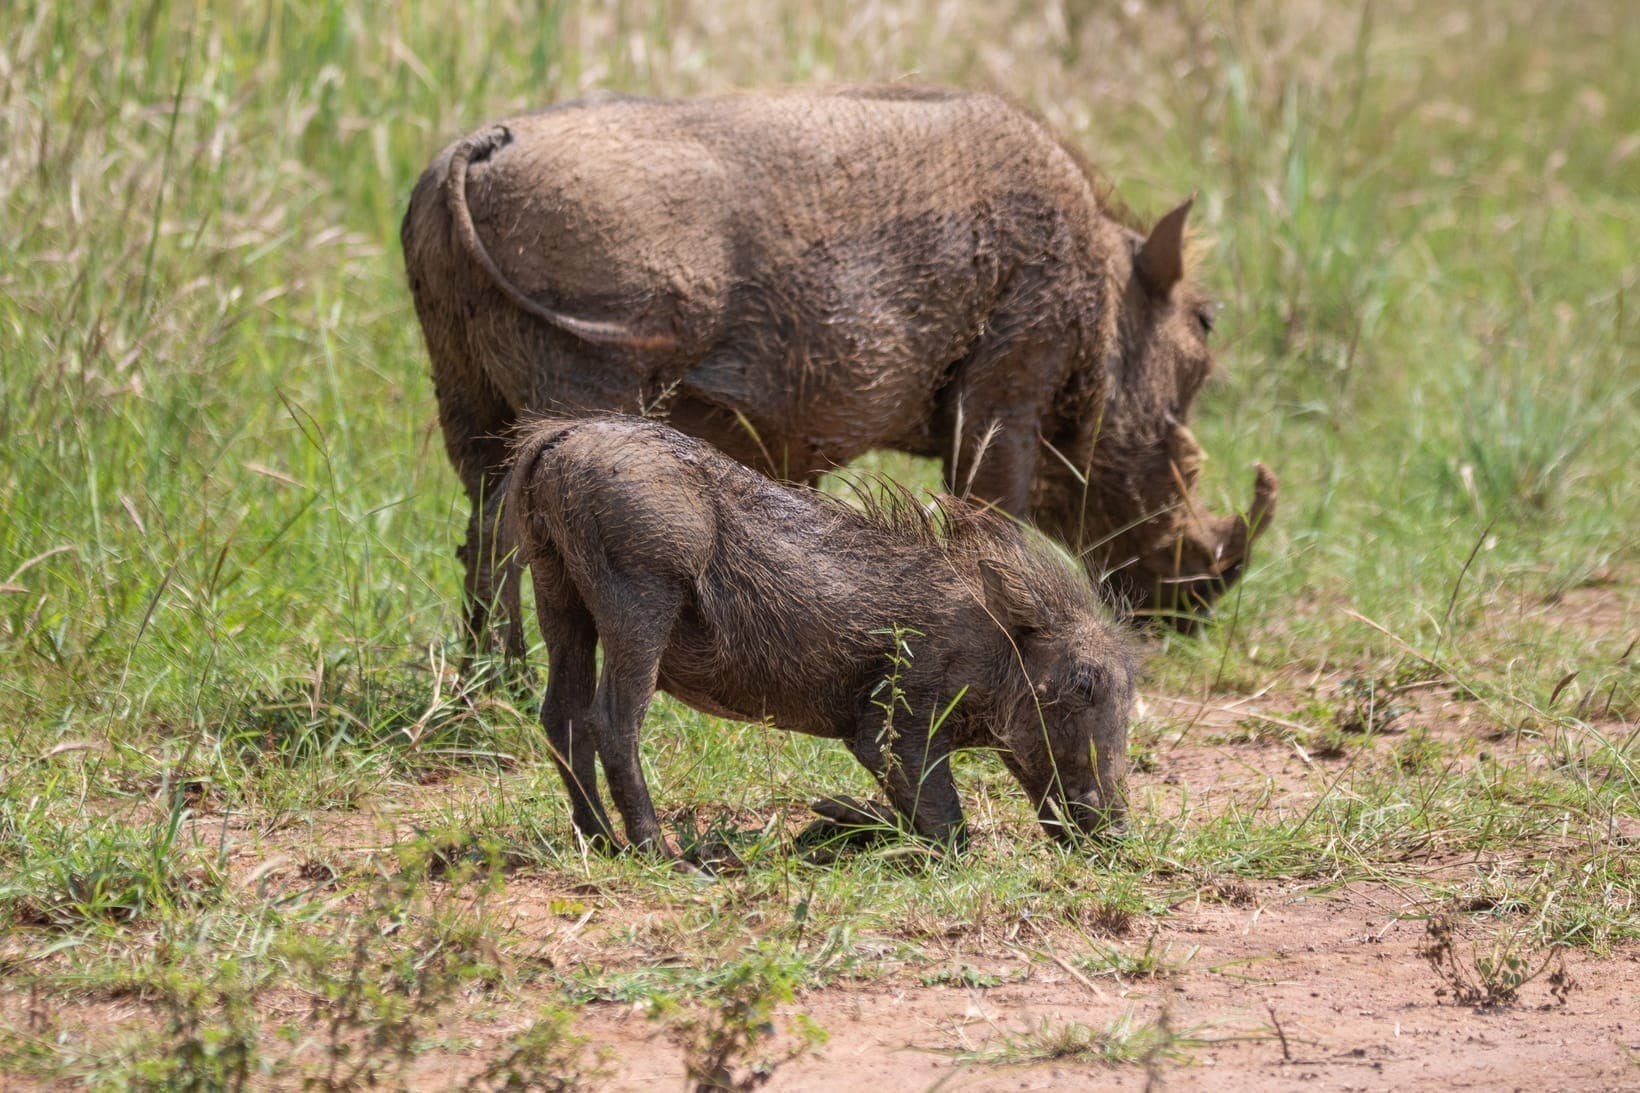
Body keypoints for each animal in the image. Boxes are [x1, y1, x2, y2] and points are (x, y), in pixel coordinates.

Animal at [503, 413, 1137, 852]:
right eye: (1083, 684)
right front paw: (842, 825)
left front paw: (832, 827)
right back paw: (666, 855)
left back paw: (600, 842)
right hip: (640, 597)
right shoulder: (896, 721)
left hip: (558, 594)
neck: (1001, 644)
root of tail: (561, 438)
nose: (1116, 836)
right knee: (611, 721)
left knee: (561, 716)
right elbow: (947, 830)